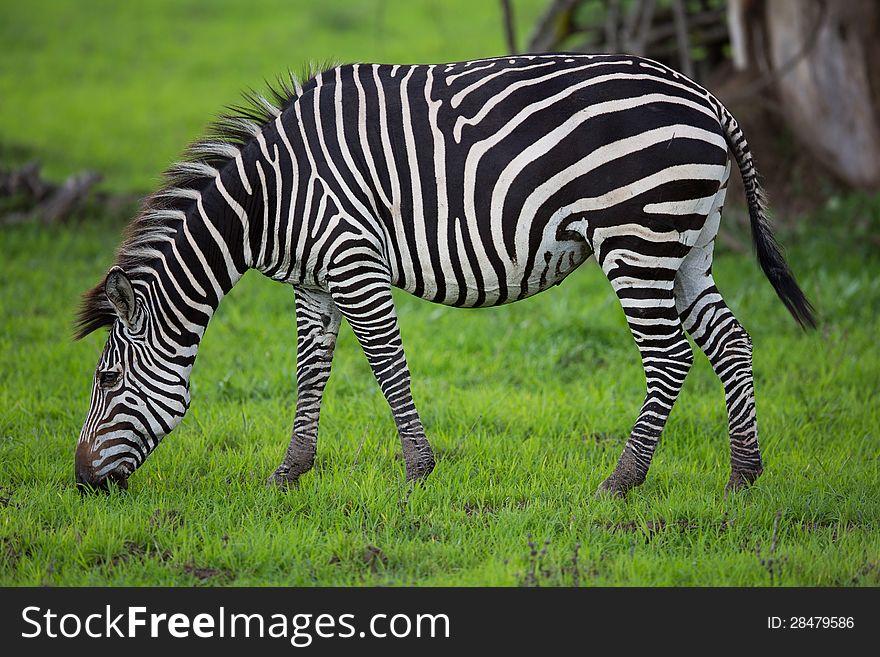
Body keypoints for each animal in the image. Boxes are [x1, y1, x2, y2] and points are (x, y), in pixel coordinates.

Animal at [72, 55, 816, 498]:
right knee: (730, 342)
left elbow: (386, 364)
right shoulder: (314, 280)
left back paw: (621, 481)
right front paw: (289, 472)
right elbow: (310, 372)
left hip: (636, 240)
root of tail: (707, 98)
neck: (270, 198)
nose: (79, 483)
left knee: (668, 357)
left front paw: (417, 471)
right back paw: (744, 476)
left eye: (106, 380)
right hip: (687, 244)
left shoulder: (353, 259)